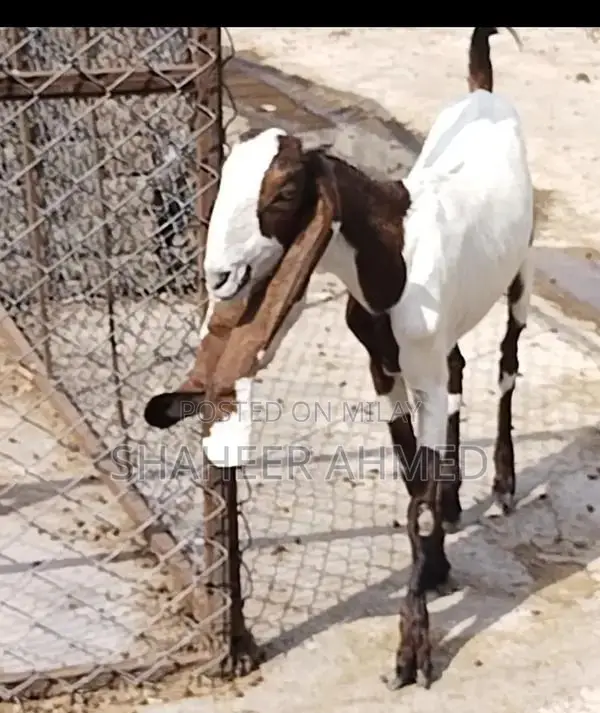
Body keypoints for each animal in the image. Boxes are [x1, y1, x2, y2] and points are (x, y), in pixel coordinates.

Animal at [148, 27, 533, 689]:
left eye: (284, 192)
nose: (219, 275)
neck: (394, 254)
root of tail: (483, 92)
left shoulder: (420, 368)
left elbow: (417, 499)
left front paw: (414, 647)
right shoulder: (385, 367)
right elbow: (411, 475)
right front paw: (436, 565)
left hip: (522, 268)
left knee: (506, 364)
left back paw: (504, 485)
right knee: (460, 370)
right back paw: (459, 500)